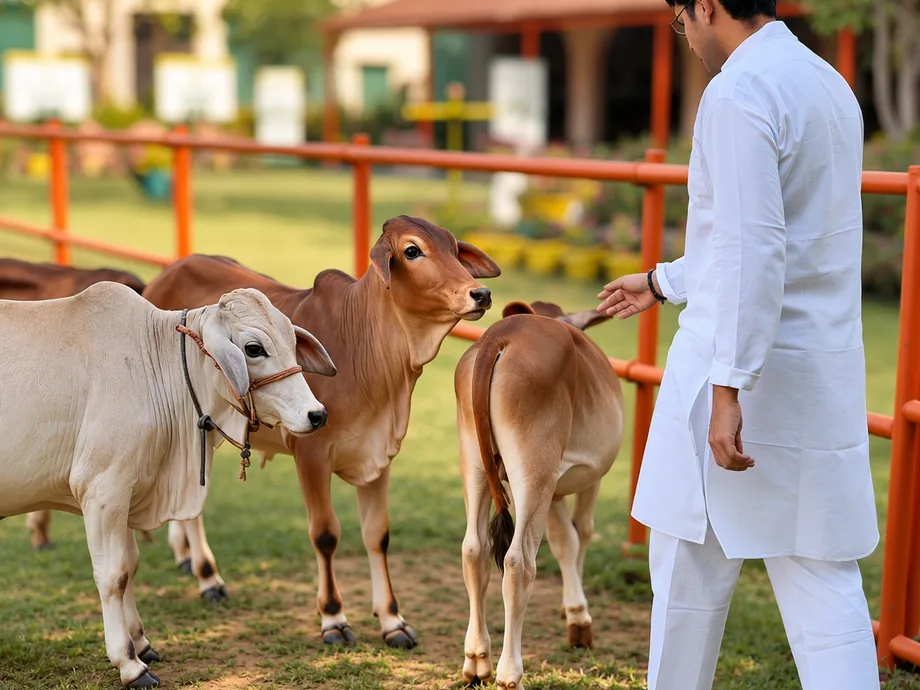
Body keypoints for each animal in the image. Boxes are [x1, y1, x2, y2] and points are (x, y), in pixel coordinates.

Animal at [136, 215, 500, 647]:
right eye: (412, 250)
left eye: (454, 247)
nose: (480, 293)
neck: (366, 347)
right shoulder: (311, 453)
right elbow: (325, 535)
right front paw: (334, 618)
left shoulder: (379, 454)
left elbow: (377, 535)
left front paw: (392, 621)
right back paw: (209, 578)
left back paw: (187, 557)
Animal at [453, 300, 624, 689]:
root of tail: (500, 335)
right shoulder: (586, 477)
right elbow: (580, 533)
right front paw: (578, 616)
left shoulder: (554, 489)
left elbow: (564, 540)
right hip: (535, 468)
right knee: (518, 562)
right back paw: (509, 674)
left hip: (474, 462)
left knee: (474, 550)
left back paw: (477, 661)